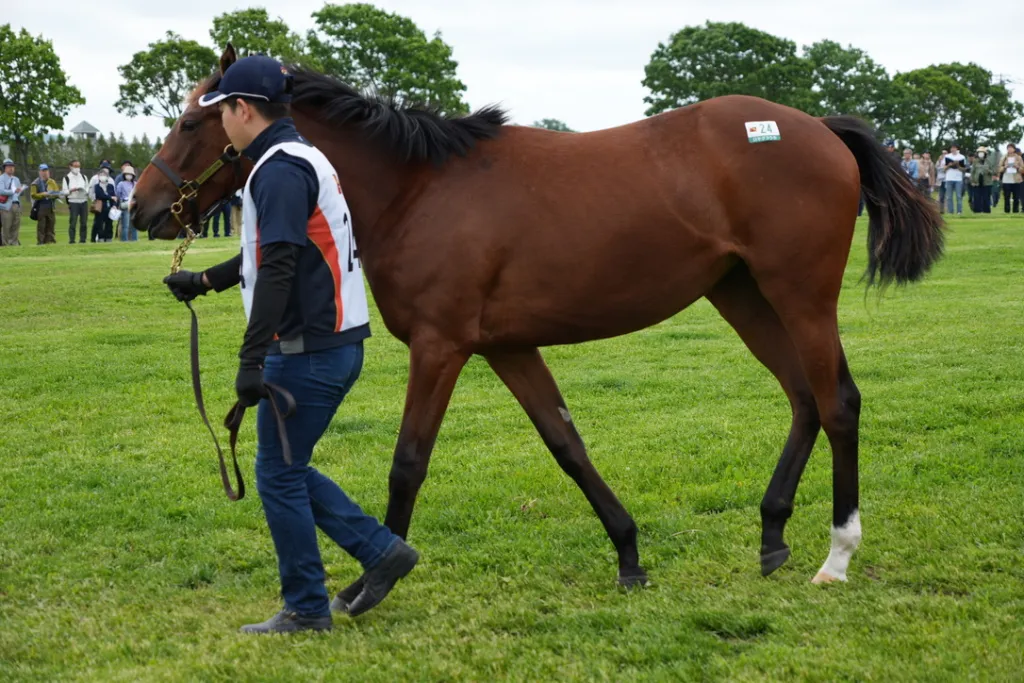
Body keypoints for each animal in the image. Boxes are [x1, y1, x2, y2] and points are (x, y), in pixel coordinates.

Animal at [132, 46, 944, 600]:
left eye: (191, 119)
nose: (142, 206)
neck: (419, 190)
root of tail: (822, 130)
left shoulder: (441, 347)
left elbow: (408, 462)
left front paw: (372, 582)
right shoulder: (511, 347)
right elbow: (567, 444)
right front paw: (628, 554)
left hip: (800, 295)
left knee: (837, 403)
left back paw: (837, 553)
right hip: (742, 295)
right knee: (804, 398)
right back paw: (772, 533)